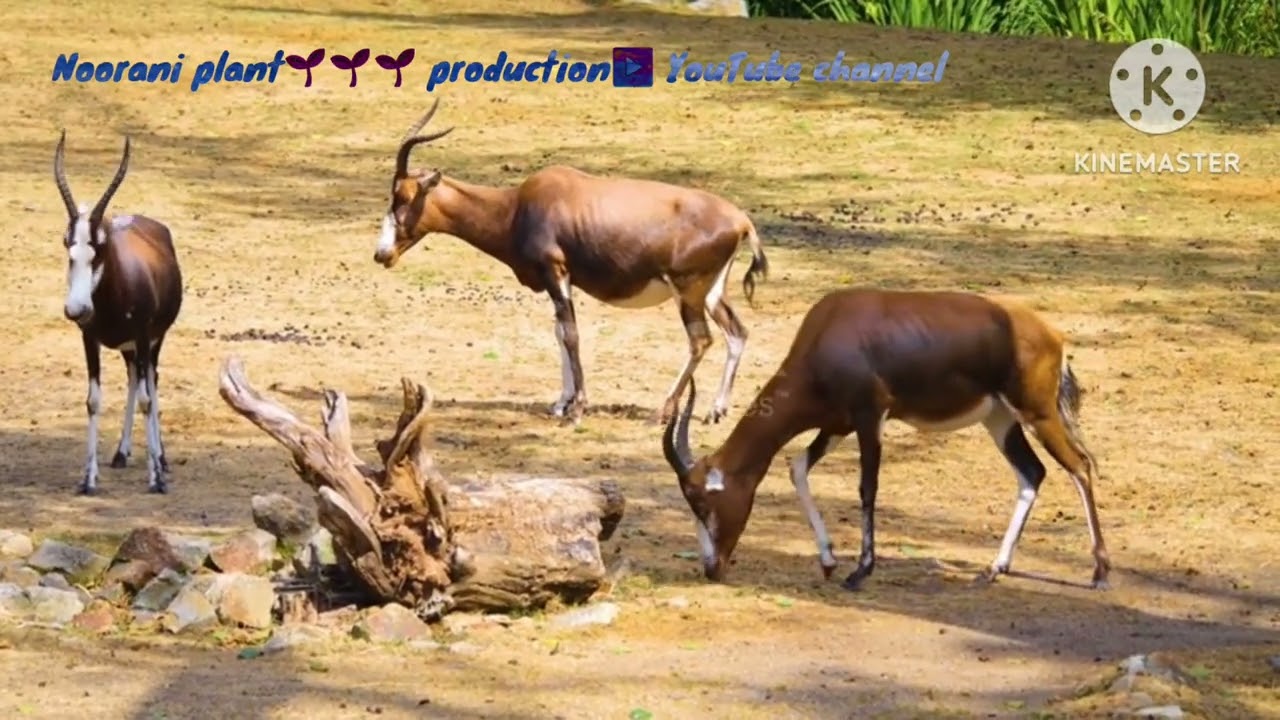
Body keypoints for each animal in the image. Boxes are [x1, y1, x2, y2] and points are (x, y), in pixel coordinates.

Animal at [54, 131, 184, 495]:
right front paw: (88, 479)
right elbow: (93, 400)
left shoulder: (142, 335)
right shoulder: (89, 339)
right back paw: (122, 453)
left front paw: (156, 480)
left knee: (149, 379)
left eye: (99, 249)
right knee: (132, 378)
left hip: (152, 342)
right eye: (69, 247)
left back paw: (161, 460)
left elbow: (147, 400)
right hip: (128, 349)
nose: (77, 309)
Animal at [372, 99, 769, 425]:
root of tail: (741, 221)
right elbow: (559, 332)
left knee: (700, 340)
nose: (381, 253)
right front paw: (561, 403)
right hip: (712, 292)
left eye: (403, 196)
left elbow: (571, 333)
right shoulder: (558, 280)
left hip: (687, 293)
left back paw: (663, 411)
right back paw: (716, 410)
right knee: (737, 332)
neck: (519, 206)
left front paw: (577, 408)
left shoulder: (556, 272)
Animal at [663, 287, 1111, 591]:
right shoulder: (836, 424)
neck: (832, 327)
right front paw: (828, 560)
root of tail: (1052, 334)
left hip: (1038, 414)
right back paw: (995, 567)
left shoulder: (869, 418)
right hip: (999, 420)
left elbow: (867, 487)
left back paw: (1100, 572)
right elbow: (797, 468)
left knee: (1079, 467)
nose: (712, 568)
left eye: (703, 501)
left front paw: (860, 570)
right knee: (1032, 472)